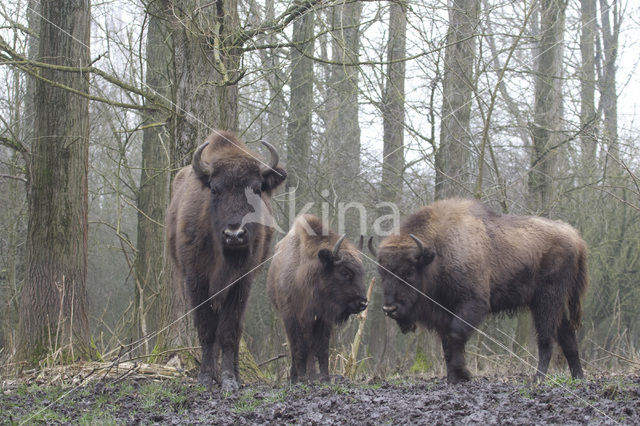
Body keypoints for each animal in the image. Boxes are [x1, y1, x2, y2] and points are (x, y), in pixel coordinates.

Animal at [166, 131, 286, 392]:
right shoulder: (197, 281)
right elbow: (206, 329)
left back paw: (237, 377)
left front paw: (230, 380)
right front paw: (205, 378)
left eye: (257, 188)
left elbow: (229, 330)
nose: (235, 234)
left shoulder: (242, 283)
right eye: (214, 189)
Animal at [268, 215, 368, 382]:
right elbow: (301, 347)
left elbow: (321, 348)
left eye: (362, 272)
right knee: (297, 347)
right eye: (344, 271)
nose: (363, 303)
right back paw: (296, 376)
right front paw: (305, 377)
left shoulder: (322, 318)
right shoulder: (292, 315)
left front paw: (325, 377)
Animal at [368, 199, 588, 382]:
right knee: (567, 336)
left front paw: (464, 374)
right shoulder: (444, 313)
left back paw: (538, 378)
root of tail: (575, 237)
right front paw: (453, 378)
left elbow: (455, 336)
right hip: (551, 304)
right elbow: (446, 344)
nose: (389, 309)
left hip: (547, 301)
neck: (439, 251)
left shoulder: (472, 304)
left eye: (408, 272)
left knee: (546, 338)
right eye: (382, 273)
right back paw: (578, 377)